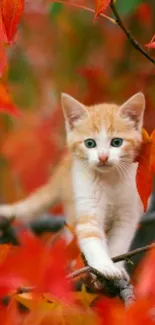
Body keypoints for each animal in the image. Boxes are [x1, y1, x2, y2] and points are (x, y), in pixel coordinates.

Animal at [0, 92, 144, 280]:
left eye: (116, 142)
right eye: (90, 143)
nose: (103, 157)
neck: (109, 180)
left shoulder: (128, 212)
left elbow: (120, 242)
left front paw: (118, 268)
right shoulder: (87, 202)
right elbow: (91, 237)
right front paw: (105, 266)